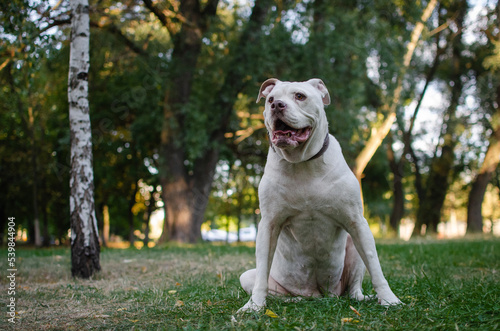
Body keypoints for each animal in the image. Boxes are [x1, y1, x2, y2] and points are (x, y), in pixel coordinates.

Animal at [239, 79, 402, 312]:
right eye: (270, 99)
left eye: (299, 96)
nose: (277, 105)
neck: (302, 162)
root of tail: (318, 294)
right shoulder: (268, 225)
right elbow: (262, 272)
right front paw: (254, 306)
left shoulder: (357, 222)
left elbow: (375, 265)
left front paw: (389, 299)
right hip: (249, 277)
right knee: (277, 293)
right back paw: (293, 300)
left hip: (353, 248)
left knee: (354, 289)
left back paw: (362, 298)